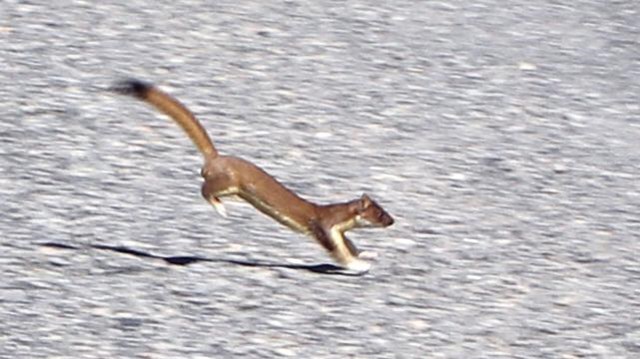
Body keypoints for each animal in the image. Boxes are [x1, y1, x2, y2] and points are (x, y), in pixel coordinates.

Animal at [115, 80, 396, 274]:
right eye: (381, 214)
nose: (393, 221)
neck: (338, 217)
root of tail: (216, 158)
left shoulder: (340, 232)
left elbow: (351, 245)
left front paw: (368, 254)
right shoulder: (325, 228)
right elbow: (338, 253)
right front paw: (358, 266)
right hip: (228, 180)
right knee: (205, 188)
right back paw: (221, 209)